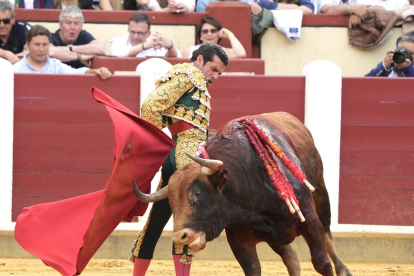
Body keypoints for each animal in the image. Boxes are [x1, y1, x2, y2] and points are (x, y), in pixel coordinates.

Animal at [135, 112, 352, 276]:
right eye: (171, 202)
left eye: (198, 193)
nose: (180, 238)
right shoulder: (239, 238)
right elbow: (253, 269)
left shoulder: (309, 220)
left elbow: (321, 263)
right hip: (277, 237)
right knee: (291, 258)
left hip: (321, 195)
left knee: (327, 233)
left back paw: (344, 270)